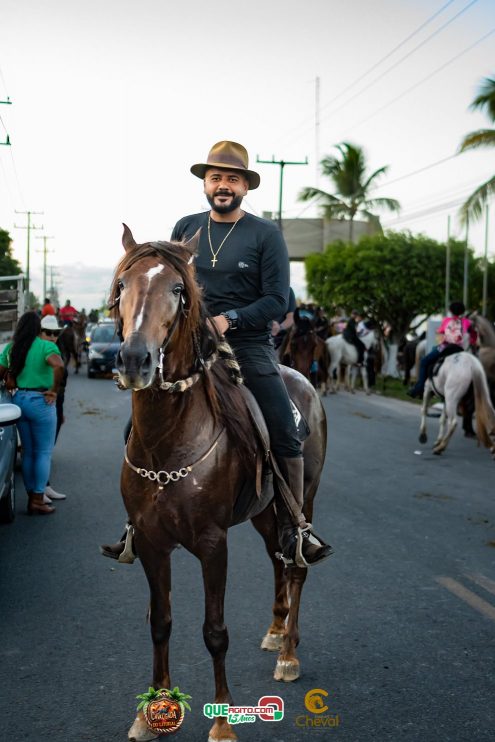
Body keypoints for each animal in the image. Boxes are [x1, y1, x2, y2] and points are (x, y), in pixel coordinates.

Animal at [111, 227, 332, 742]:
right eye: (123, 284)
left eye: (178, 289)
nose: (135, 360)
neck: (167, 445)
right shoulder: (151, 542)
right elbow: (161, 622)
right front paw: (151, 712)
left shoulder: (213, 545)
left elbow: (214, 631)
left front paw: (223, 722)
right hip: (265, 514)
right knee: (276, 558)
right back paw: (275, 631)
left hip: (302, 500)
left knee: (296, 565)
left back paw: (289, 654)